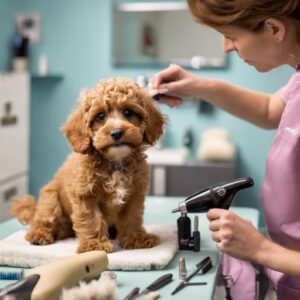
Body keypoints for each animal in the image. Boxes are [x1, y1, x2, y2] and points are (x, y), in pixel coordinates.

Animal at [11, 77, 166, 253]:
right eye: (100, 116)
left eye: (128, 112)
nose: (116, 132)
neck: (115, 162)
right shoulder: (85, 195)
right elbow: (92, 220)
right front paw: (95, 245)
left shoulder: (134, 195)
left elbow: (132, 218)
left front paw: (136, 239)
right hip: (49, 198)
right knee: (44, 219)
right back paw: (40, 235)